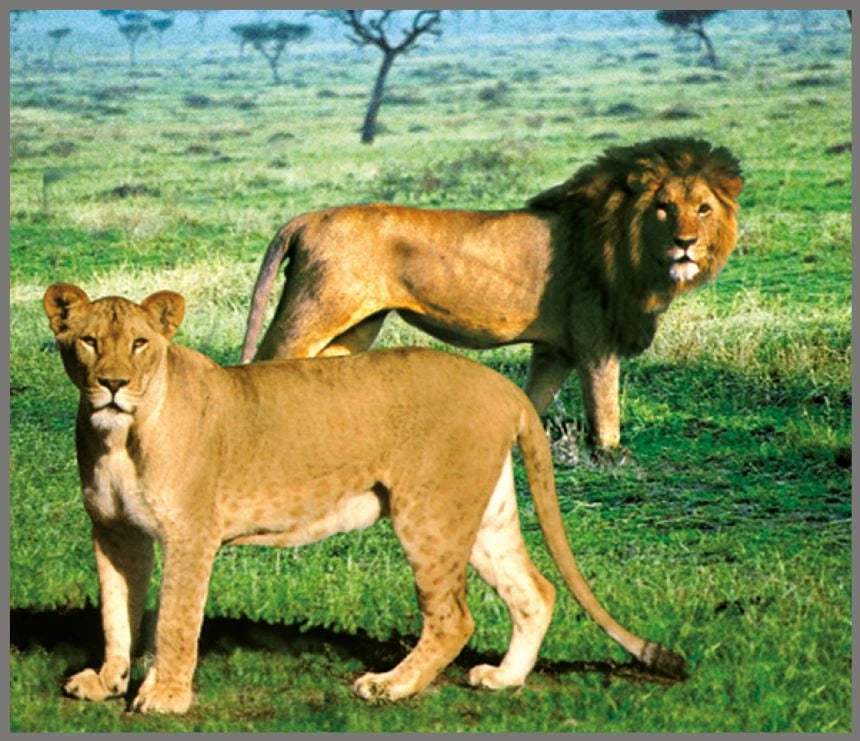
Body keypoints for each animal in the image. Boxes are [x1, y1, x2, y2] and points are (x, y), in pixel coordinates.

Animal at [45, 283, 685, 714]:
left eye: (139, 344)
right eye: (88, 342)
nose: (112, 384)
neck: (119, 436)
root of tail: (503, 385)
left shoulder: (191, 535)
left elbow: (176, 620)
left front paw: (166, 696)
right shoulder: (115, 534)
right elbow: (116, 612)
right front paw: (106, 681)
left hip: (428, 515)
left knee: (453, 617)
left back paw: (390, 685)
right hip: (482, 516)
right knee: (535, 592)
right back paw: (504, 679)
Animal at [241, 137, 743, 458]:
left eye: (703, 208)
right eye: (663, 208)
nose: (685, 243)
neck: (627, 244)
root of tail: (305, 219)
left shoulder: (555, 349)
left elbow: (534, 399)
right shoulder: (594, 340)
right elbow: (605, 404)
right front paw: (612, 455)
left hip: (356, 326)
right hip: (317, 307)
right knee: (268, 363)